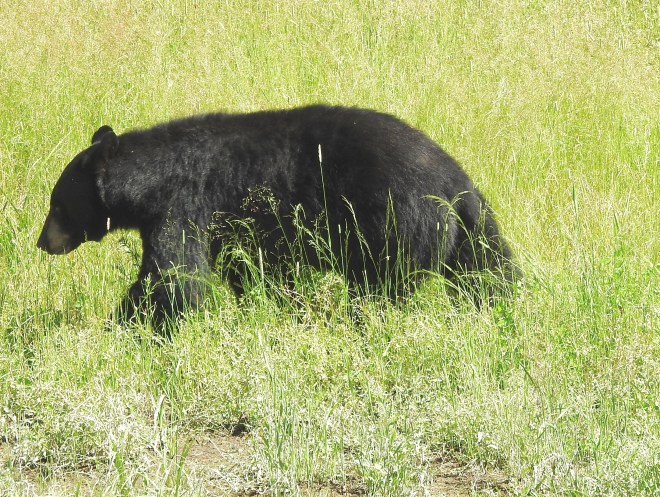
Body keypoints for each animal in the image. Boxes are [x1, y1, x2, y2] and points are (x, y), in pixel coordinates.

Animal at [37, 105, 516, 331]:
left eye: (57, 205)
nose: (43, 241)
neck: (153, 175)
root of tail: (455, 181)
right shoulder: (234, 230)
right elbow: (253, 271)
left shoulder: (184, 206)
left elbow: (172, 278)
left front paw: (124, 326)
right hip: (471, 234)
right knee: (488, 273)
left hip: (395, 224)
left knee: (379, 288)